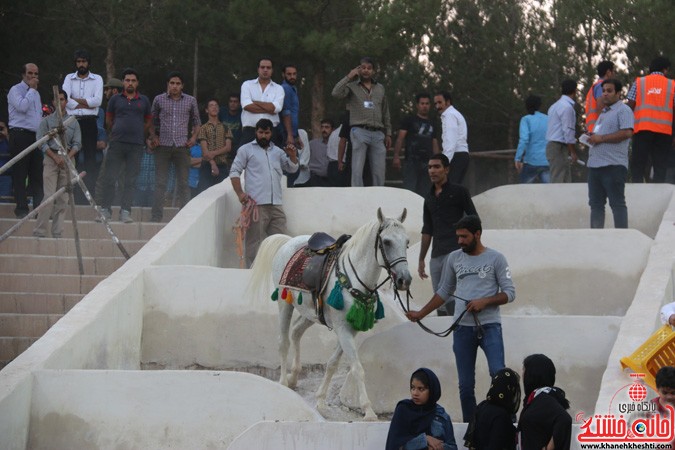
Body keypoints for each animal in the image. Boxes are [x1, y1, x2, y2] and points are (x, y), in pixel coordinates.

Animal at [248, 209, 412, 420]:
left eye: (407, 242)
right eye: (387, 241)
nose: (404, 280)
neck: (354, 278)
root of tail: (288, 241)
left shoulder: (350, 329)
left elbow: (333, 363)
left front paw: (320, 400)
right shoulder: (342, 329)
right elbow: (357, 368)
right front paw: (368, 410)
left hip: (310, 313)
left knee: (296, 332)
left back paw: (294, 376)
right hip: (284, 303)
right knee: (283, 341)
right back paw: (284, 382)